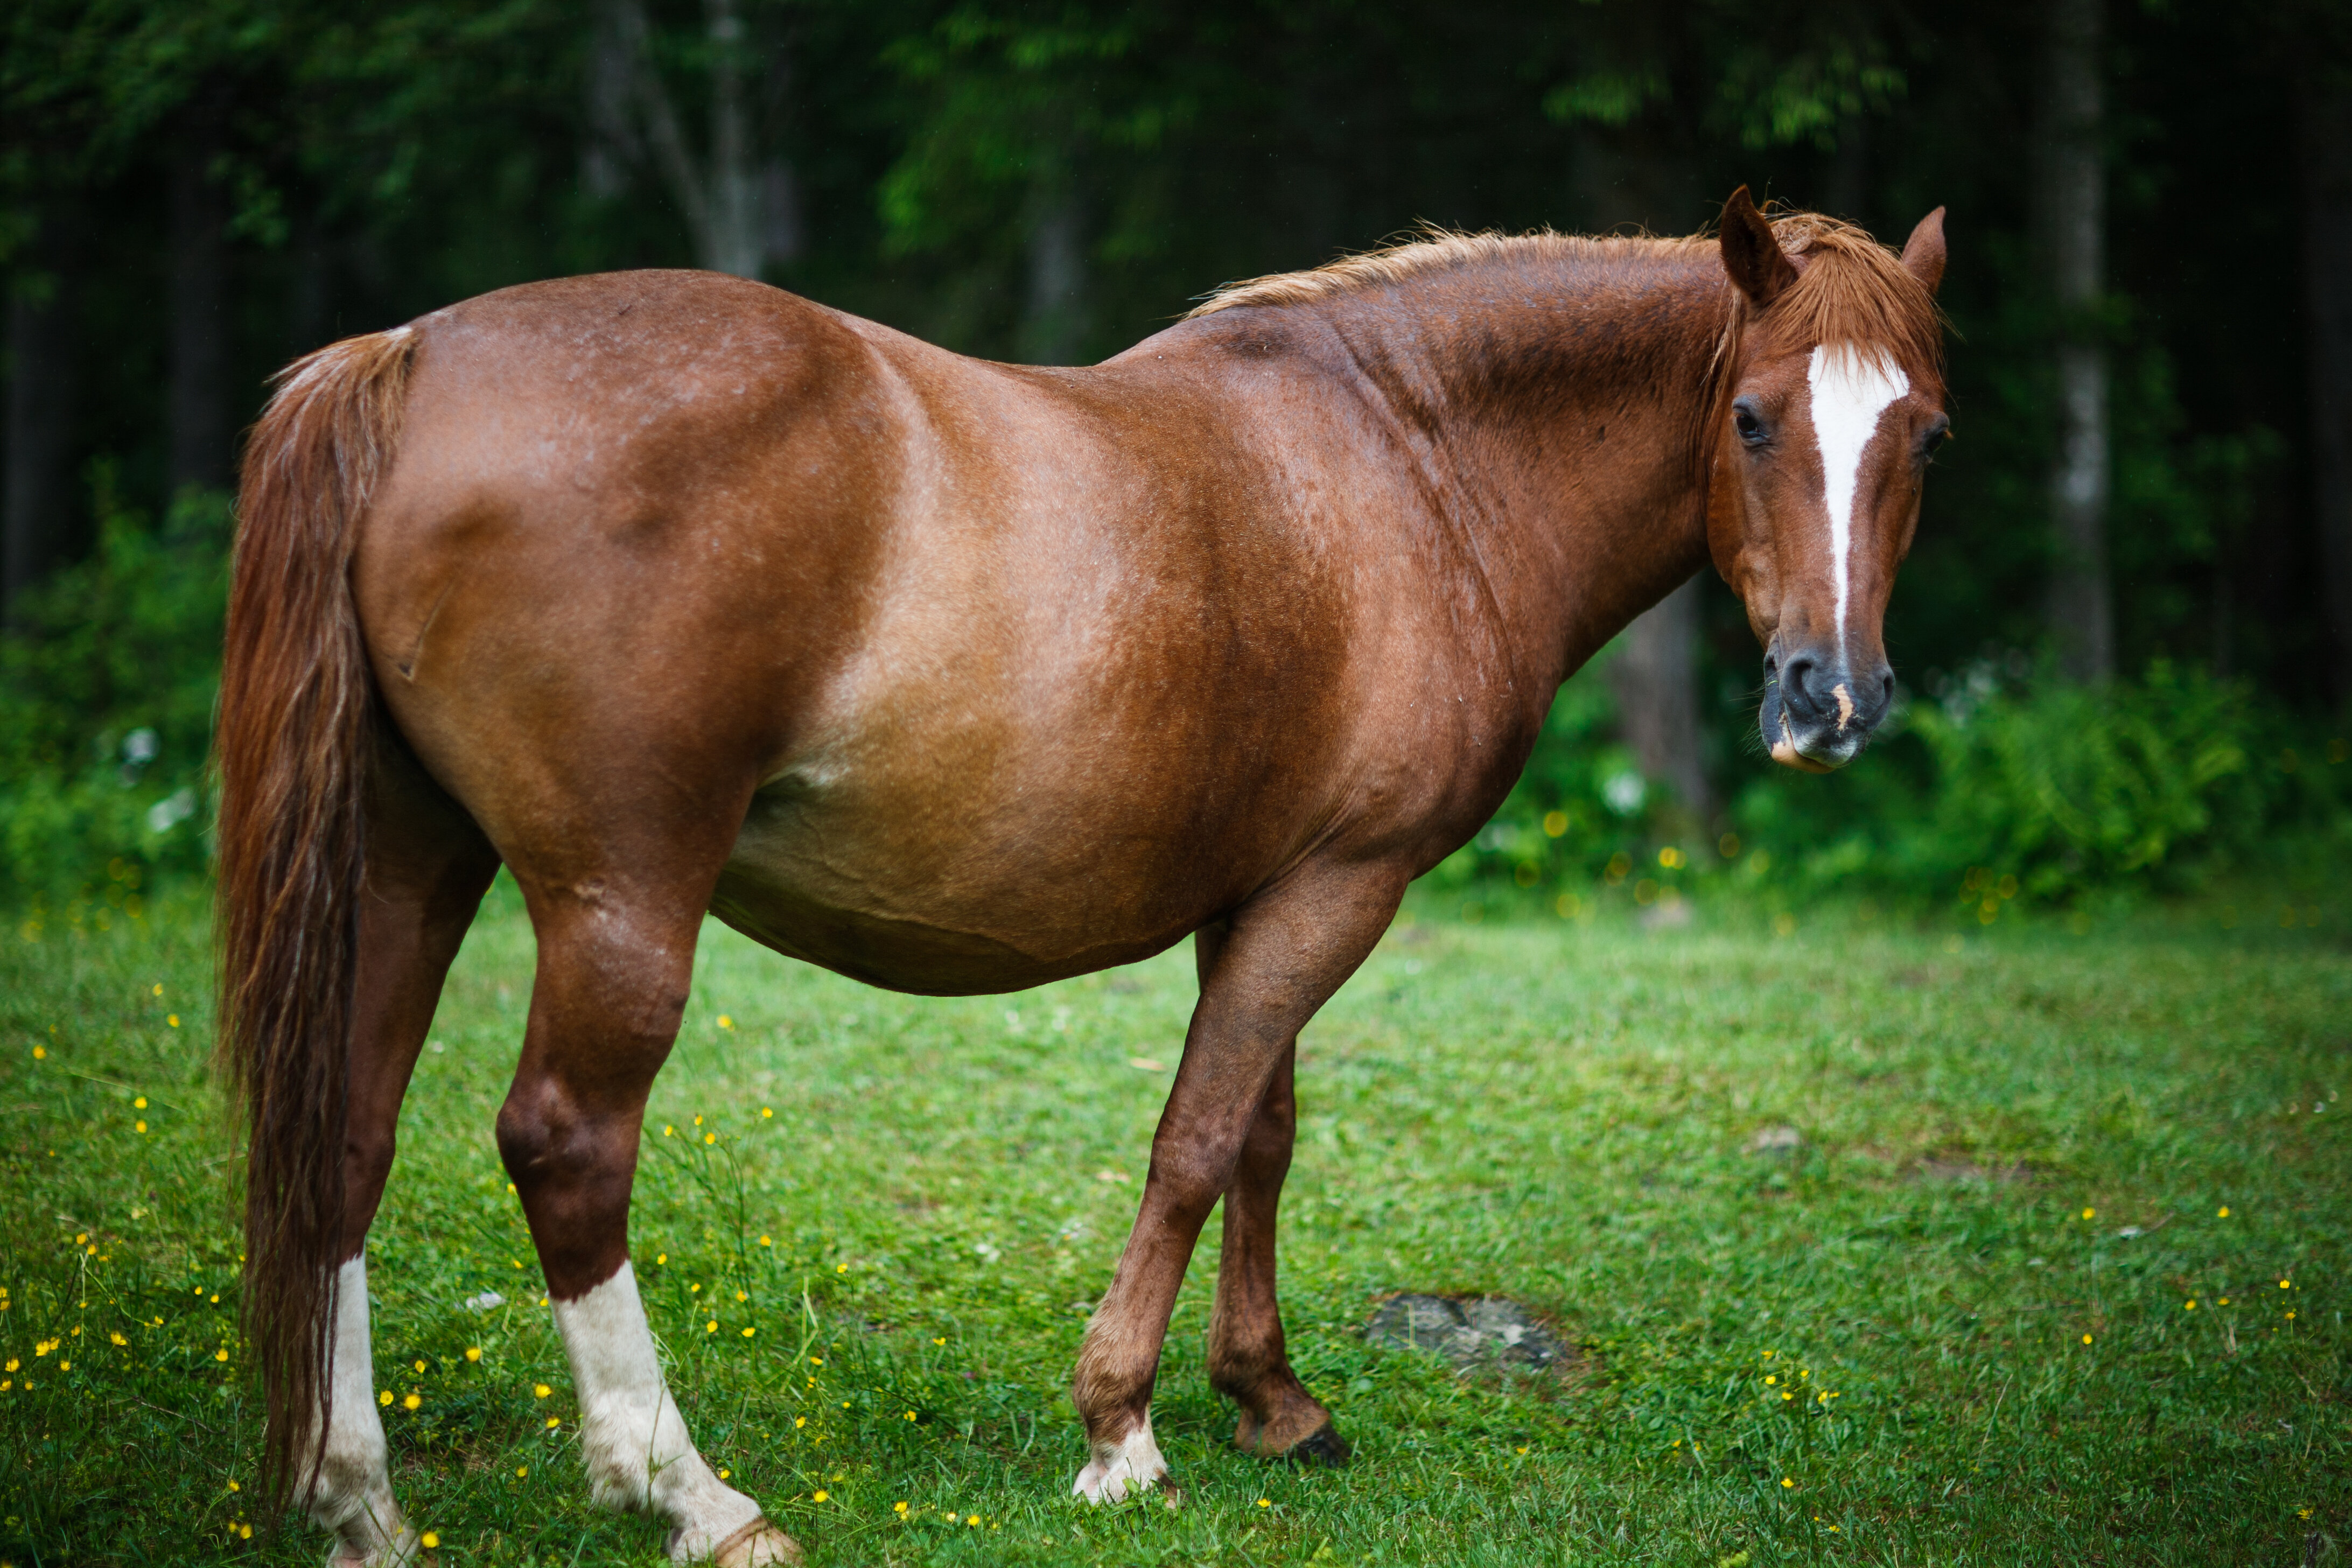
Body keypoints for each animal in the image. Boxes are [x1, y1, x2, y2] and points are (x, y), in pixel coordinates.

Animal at [216, 187, 1947, 1568]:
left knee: (347, 1141)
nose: (1833, 701)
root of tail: (410, 358)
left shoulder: (1272, 892)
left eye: (1926, 432)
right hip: (618, 900)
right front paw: (1123, 1433)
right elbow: (1196, 1144)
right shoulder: (1342, 887)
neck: (1411, 462)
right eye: (1752, 419)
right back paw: (691, 1497)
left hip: (409, 864)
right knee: (568, 1148)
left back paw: (357, 1502)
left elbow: (1263, 1139)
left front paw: (1272, 1401)